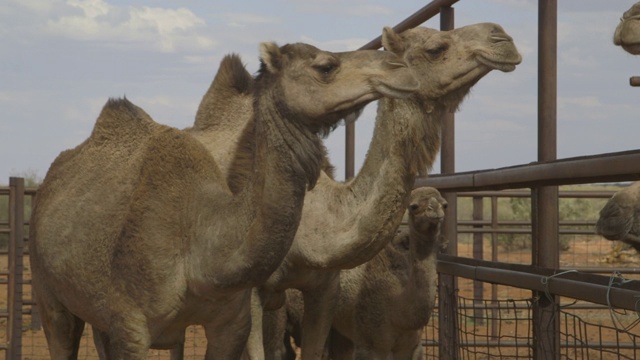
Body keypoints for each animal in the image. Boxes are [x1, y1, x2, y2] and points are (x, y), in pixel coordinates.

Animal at [28, 43, 420, 360]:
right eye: (326, 66)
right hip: (50, 295)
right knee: (60, 332)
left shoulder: (231, 324)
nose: (399, 68)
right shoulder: (131, 326)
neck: (200, 248)